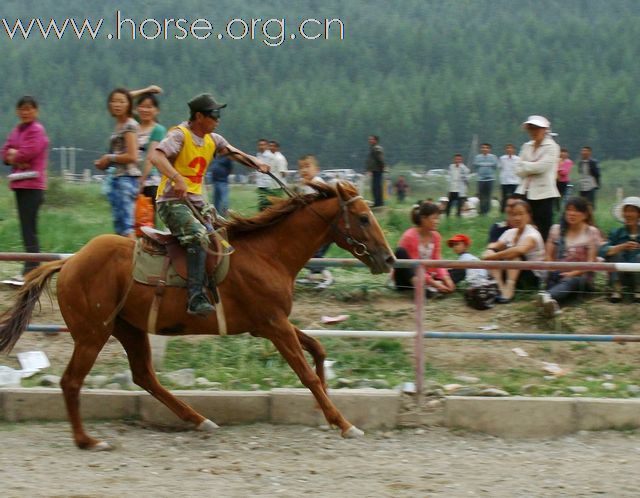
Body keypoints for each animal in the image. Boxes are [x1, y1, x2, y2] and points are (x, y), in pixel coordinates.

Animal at [0, 181, 396, 450]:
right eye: (363, 218)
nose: (390, 259)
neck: (268, 253)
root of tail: (69, 262)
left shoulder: (271, 324)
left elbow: (318, 350)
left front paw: (327, 410)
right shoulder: (274, 325)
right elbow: (307, 374)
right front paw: (343, 422)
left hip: (128, 329)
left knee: (144, 375)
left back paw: (198, 419)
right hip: (92, 333)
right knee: (72, 382)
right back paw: (87, 440)